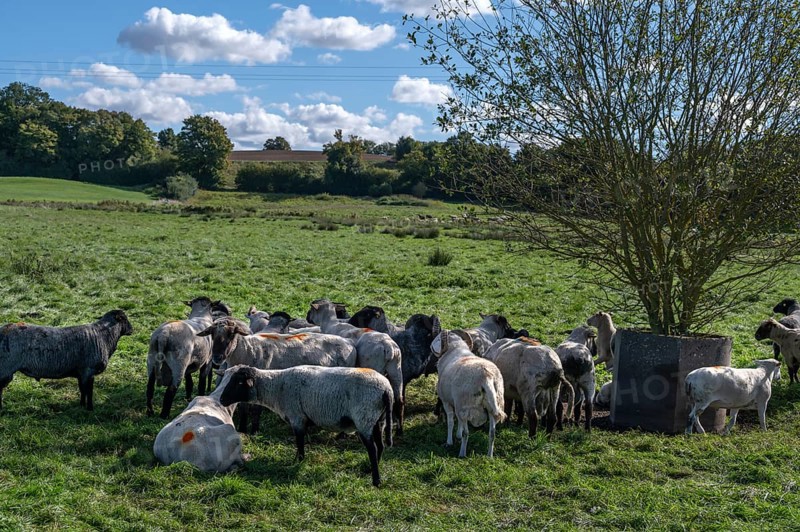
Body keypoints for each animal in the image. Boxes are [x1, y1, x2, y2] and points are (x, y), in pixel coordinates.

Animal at [0, 310, 133, 410]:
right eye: (125, 319)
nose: (132, 330)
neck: (105, 336)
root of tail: (4, 330)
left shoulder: (81, 373)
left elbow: (82, 390)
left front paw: (81, 405)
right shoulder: (89, 370)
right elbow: (89, 391)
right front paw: (90, 408)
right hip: (5, 368)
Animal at [217, 364, 393, 487]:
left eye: (239, 382)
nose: (222, 400)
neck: (276, 388)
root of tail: (387, 389)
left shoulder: (297, 417)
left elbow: (299, 442)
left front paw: (298, 461)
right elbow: (299, 442)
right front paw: (297, 459)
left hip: (364, 418)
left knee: (372, 448)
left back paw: (376, 481)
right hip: (378, 420)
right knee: (380, 445)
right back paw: (372, 469)